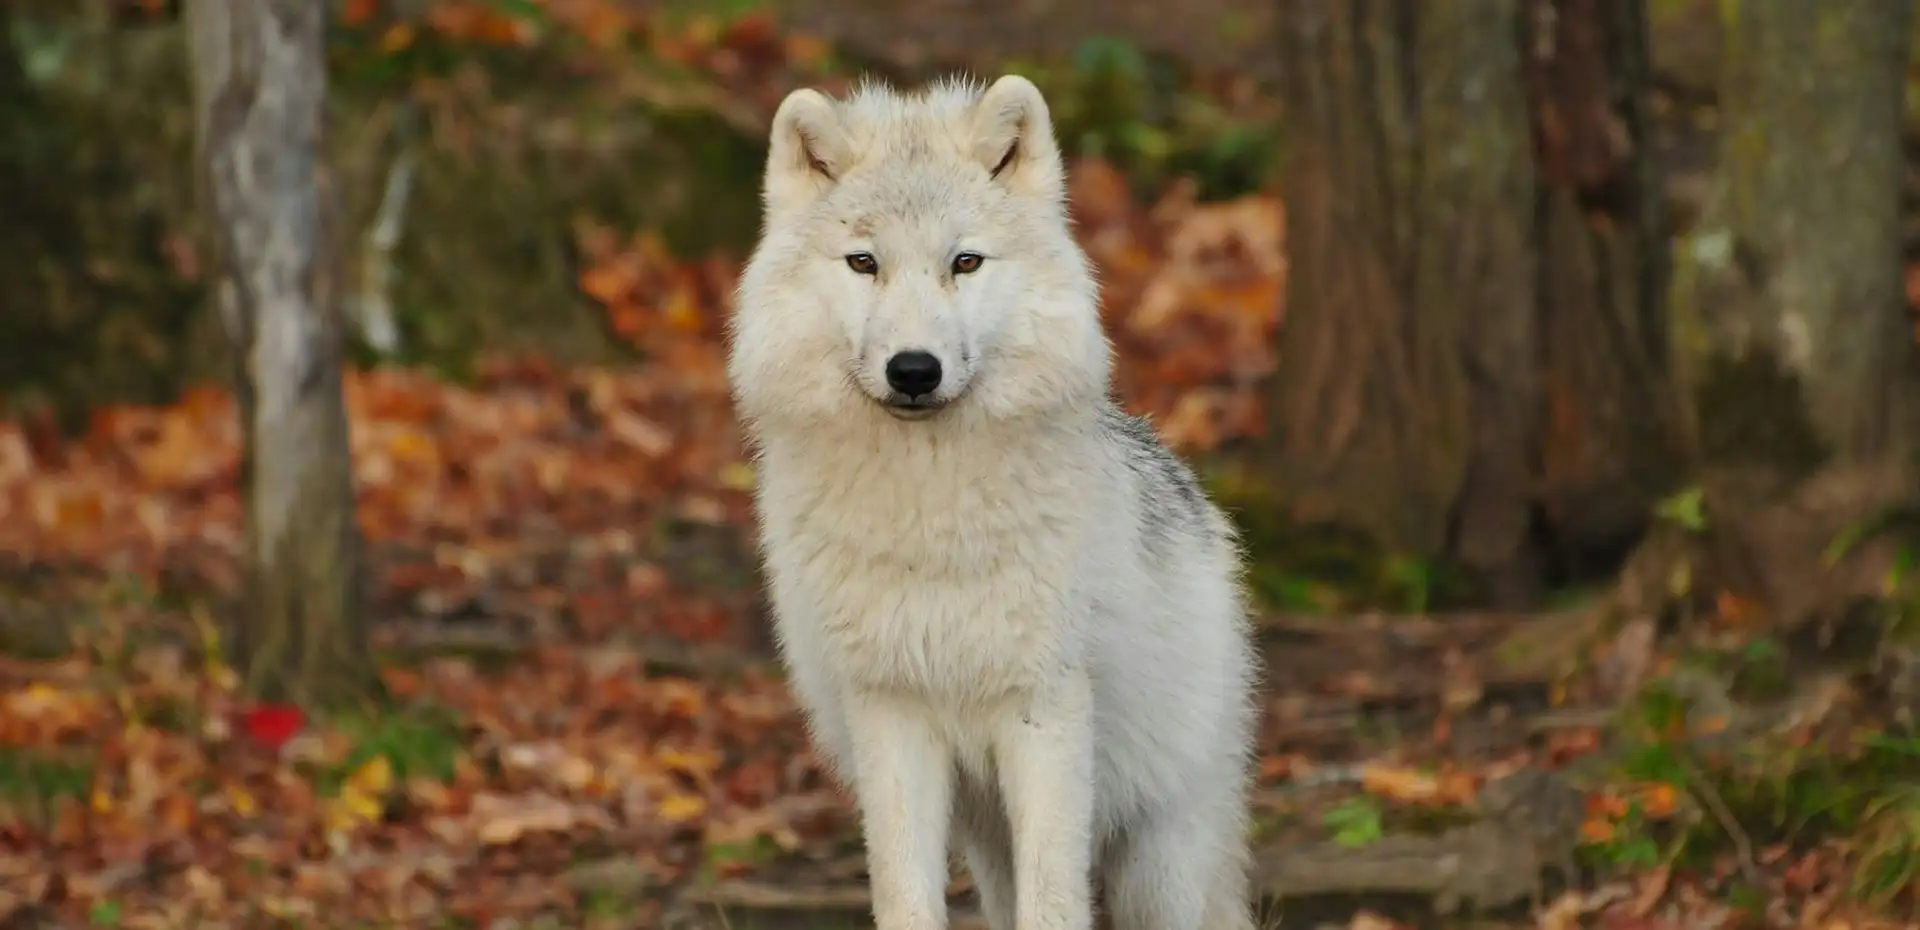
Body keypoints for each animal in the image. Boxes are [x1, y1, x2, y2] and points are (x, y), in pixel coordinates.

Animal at [725, 72, 1251, 930]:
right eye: (863, 262)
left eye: (964, 262)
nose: (913, 369)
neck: (930, 519)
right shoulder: (891, 713)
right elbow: (904, 895)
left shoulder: (1043, 711)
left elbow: (1055, 902)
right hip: (986, 832)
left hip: (1161, 854)